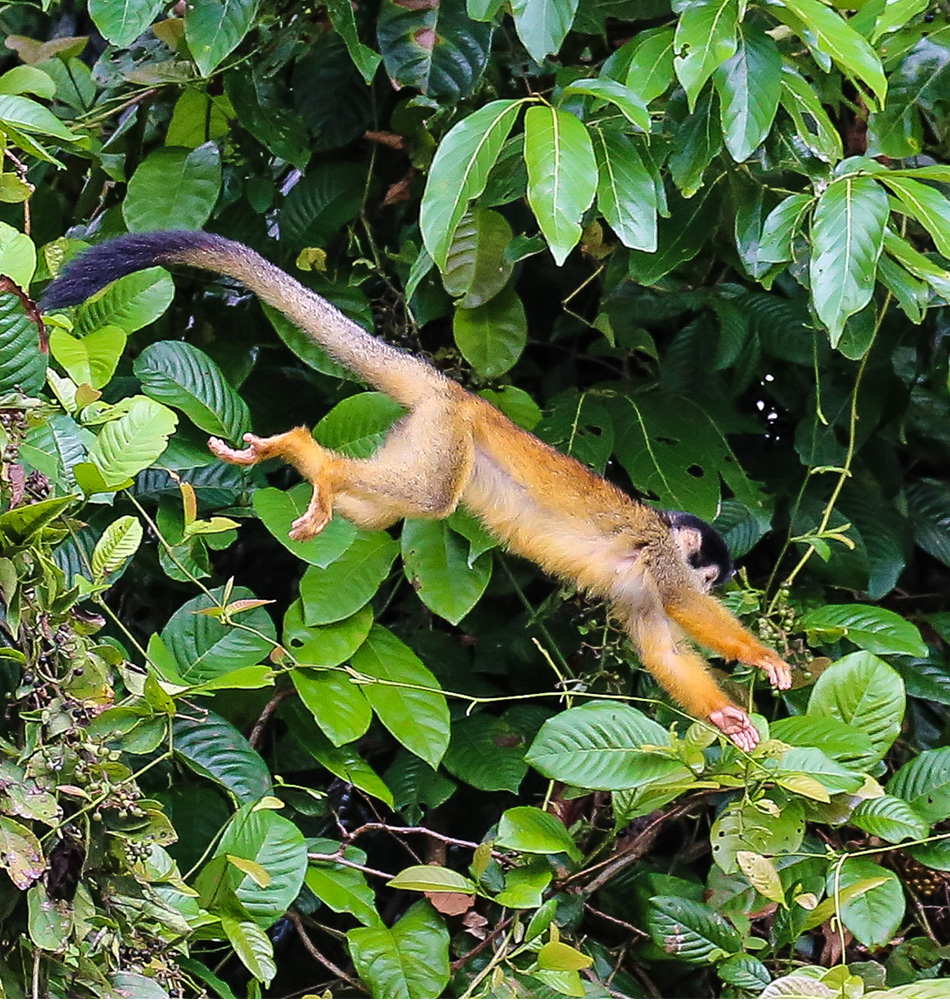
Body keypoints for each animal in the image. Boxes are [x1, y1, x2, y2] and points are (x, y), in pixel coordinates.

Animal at [39, 230, 796, 752]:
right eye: (710, 575)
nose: (715, 585)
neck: (661, 534)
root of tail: (452, 388)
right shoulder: (659, 561)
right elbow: (681, 606)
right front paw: (761, 656)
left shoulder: (638, 594)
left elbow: (664, 651)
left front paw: (727, 716)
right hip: (448, 433)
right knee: (429, 500)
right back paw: (312, 457)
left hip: (421, 434)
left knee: (381, 512)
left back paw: (305, 471)